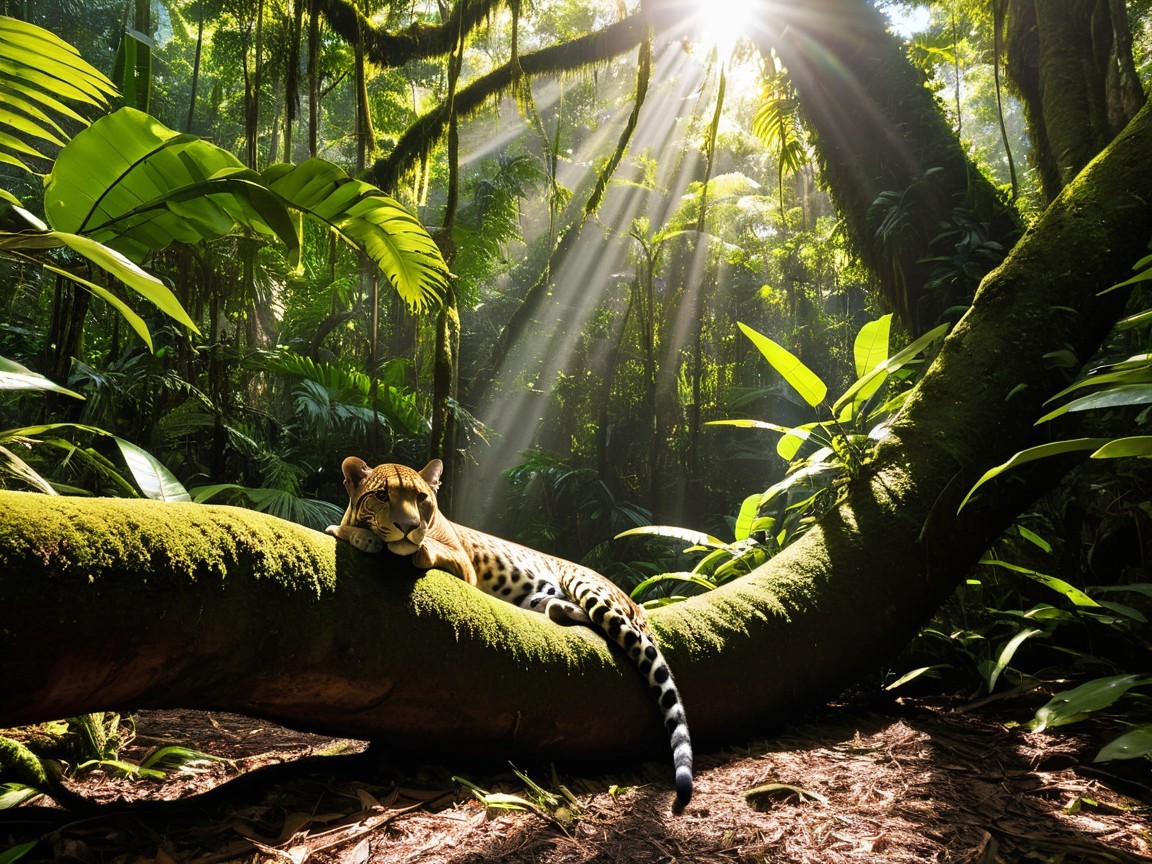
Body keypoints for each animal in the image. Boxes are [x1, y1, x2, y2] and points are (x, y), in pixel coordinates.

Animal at [326, 456, 693, 807]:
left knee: (612, 621)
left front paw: (380, 538)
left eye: (421, 498)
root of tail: (635, 603)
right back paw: (559, 609)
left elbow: (421, 549)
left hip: (585, 584)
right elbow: (343, 528)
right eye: (381, 495)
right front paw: (352, 531)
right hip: (542, 597)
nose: (408, 526)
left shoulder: (460, 562)